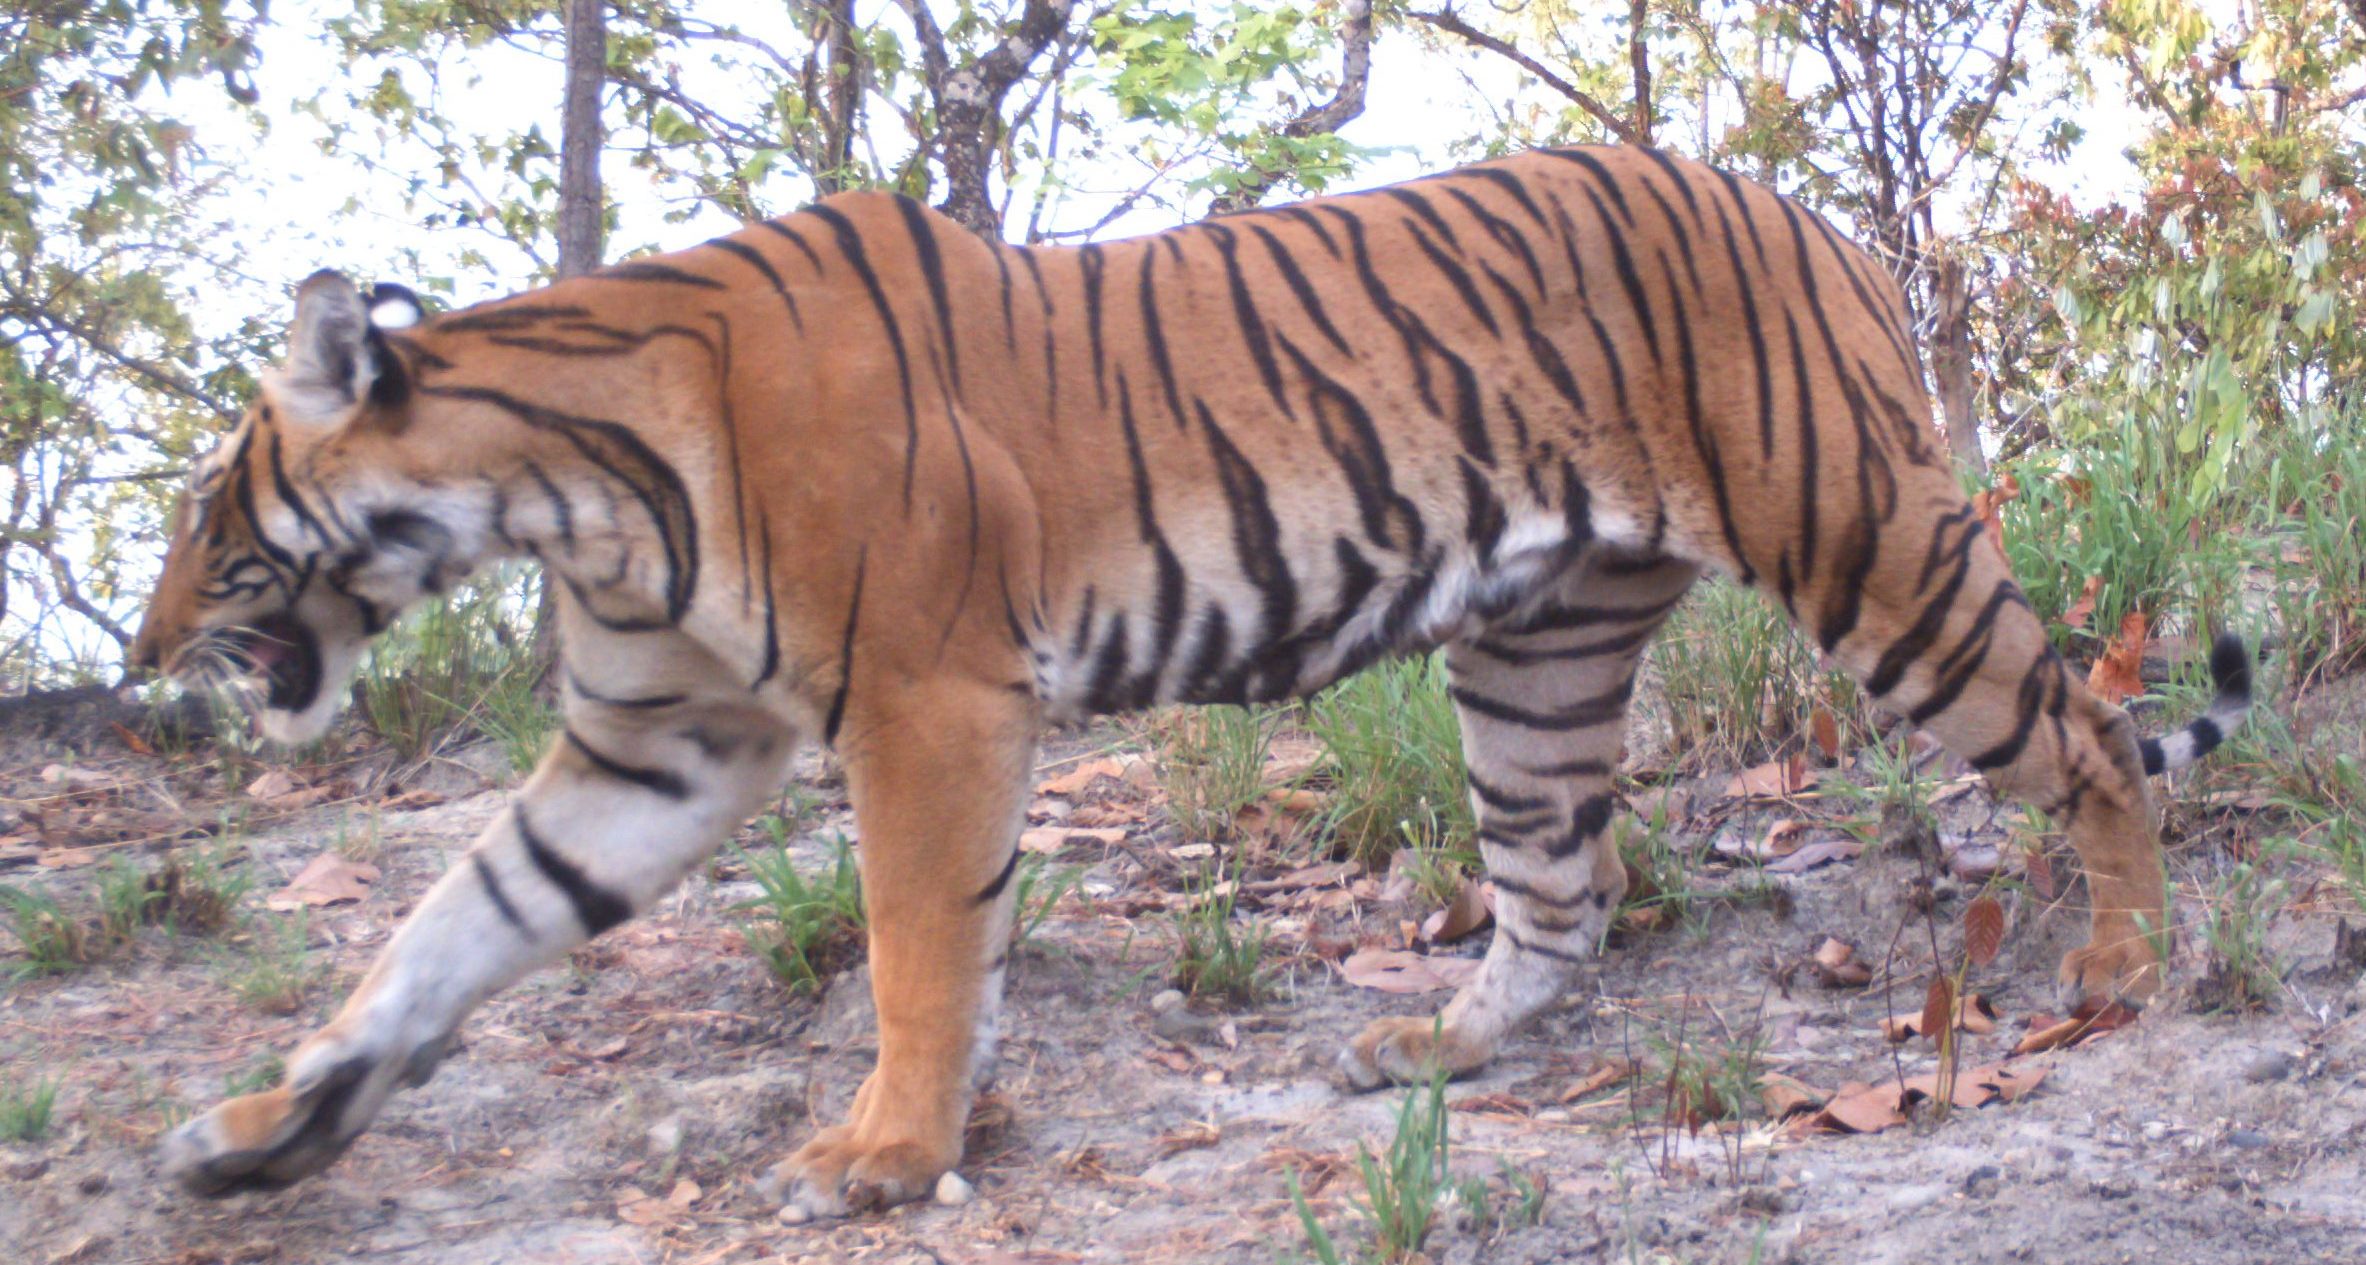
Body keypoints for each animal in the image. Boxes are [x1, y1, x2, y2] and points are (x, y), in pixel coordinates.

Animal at [129, 145, 2251, 1219]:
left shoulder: (929, 702)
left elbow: (917, 945)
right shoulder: (656, 748)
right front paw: (269, 1128)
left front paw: (886, 1157)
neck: (562, 491)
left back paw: (2122, 965)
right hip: (1535, 651)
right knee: (1558, 892)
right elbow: (443, 934)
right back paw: (1436, 1050)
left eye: (205, 523)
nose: (143, 668)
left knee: (2082, 734)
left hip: (1862, 545)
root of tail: (1796, 210)